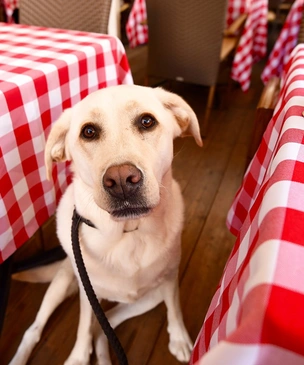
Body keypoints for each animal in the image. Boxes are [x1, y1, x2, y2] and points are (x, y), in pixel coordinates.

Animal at [8, 84, 202, 364]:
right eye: (88, 132)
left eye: (147, 121)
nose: (121, 181)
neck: (128, 233)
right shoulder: (87, 292)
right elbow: (82, 326)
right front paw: (78, 357)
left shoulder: (169, 278)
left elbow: (174, 307)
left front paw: (179, 337)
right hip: (63, 280)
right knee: (34, 330)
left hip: (147, 298)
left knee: (104, 325)